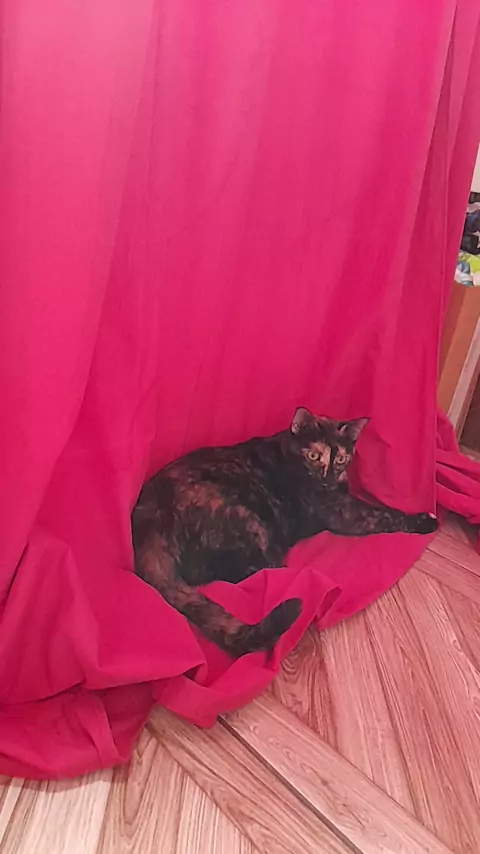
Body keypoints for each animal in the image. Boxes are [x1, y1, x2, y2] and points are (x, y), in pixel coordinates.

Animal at [132, 407, 437, 657]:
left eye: (341, 459)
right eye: (313, 455)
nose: (326, 479)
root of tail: (151, 520)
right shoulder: (346, 514)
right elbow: (384, 514)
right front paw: (426, 521)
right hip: (248, 520)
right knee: (254, 573)